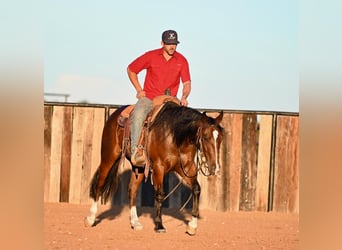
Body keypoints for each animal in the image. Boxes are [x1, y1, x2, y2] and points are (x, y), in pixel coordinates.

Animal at [84, 100, 224, 235]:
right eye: (205, 137)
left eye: (221, 138)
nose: (215, 168)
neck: (175, 136)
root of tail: (115, 115)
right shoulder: (158, 167)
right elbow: (160, 194)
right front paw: (159, 225)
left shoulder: (186, 168)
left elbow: (196, 189)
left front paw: (192, 226)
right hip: (108, 157)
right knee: (99, 184)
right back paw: (91, 219)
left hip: (140, 168)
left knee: (132, 190)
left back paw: (135, 222)